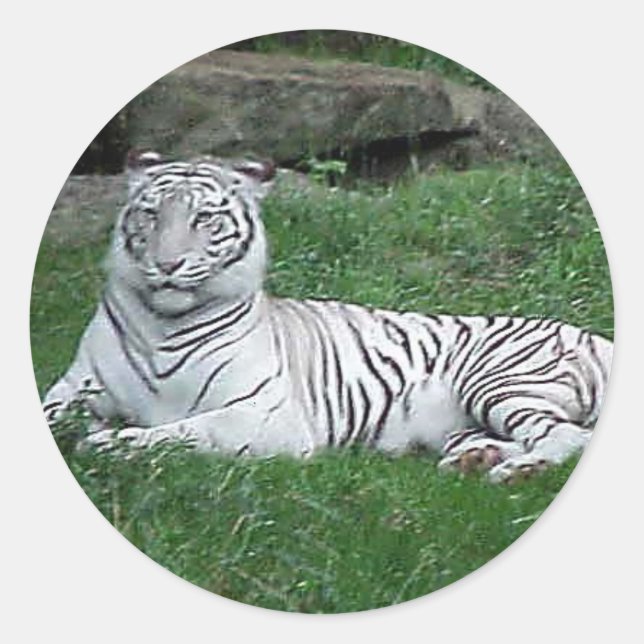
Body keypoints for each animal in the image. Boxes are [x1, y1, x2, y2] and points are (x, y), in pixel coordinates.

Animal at [42, 151, 613, 483]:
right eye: (151, 214)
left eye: (204, 218)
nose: (167, 264)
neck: (166, 320)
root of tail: (592, 335)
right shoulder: (72, 388)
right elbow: (57, 417)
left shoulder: (267, 415)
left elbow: (184, 433)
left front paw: (107, 443)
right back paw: (478, 460)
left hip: (500, 381)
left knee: (568, 437)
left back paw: (520, 470)